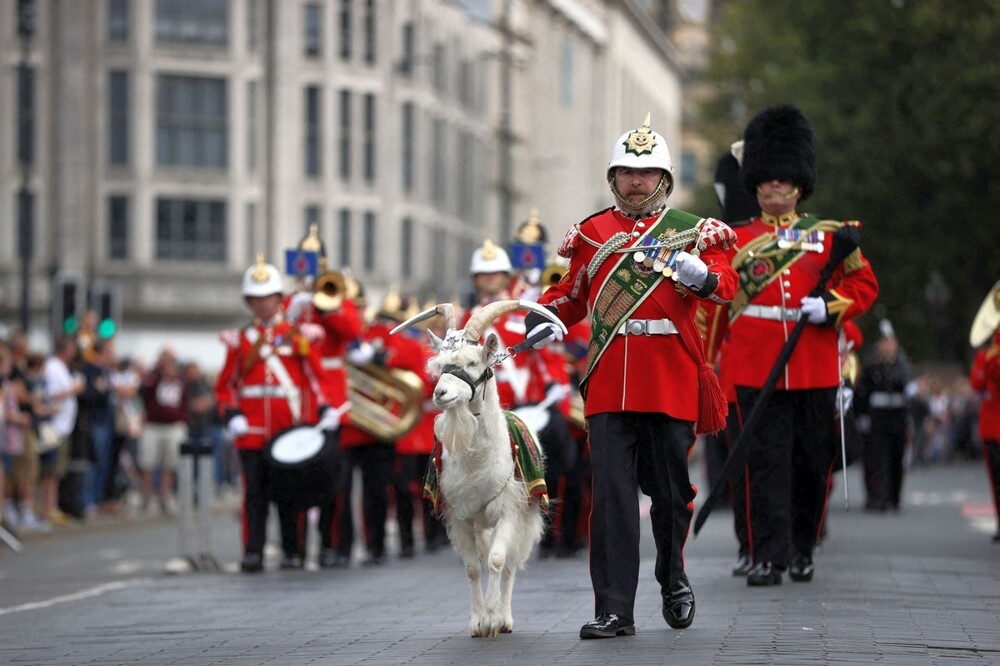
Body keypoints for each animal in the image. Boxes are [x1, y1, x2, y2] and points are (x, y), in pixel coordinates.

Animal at [388, 298, 564, 636]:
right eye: (440, 365)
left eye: (471, 363)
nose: (440, 393)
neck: (477, 460)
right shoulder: (460, 516)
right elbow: (472, 568)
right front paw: (477, 622)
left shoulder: (509, 511)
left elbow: (496, 561)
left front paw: (494, 620)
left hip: (525, 514)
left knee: (509, 564)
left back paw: (505, 618)